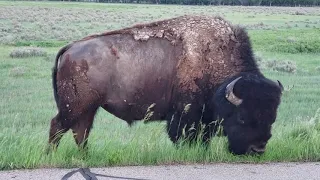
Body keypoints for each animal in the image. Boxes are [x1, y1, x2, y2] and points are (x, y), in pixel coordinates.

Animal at [47, 15, 282, 155]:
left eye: (272, 117)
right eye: (242, 117)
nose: (257, 149)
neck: (212, 59)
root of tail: (70, 48)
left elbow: (203, 139)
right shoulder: (184, 115)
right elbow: (185, 136)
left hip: (88, 108)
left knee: (81, 131)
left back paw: (85, 157)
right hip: (74, 106)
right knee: (58, 126)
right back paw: (52, 156)